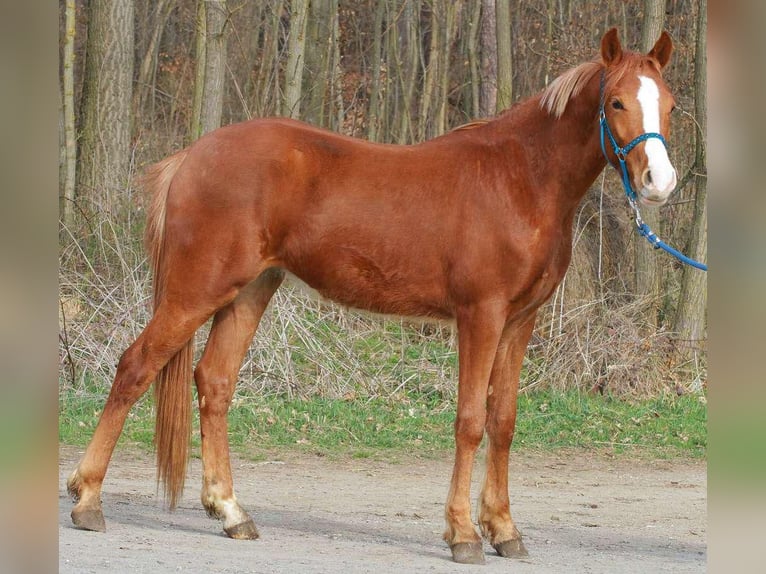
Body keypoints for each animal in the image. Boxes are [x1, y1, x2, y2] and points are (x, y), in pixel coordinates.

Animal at [67, 28, 677, 564]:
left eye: (669, 103)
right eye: (617, 102)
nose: (660, 183)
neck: (520, 179)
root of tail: (189, 158)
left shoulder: (519, 320)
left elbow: (503, 421)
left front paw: (504, 530)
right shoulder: (480, 316)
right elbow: (470, 421)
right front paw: (463, 535)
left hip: (249, 293)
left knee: (214, 383)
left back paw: (231, 511)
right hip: (196, 292)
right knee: (135, 368)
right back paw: (87, 499)